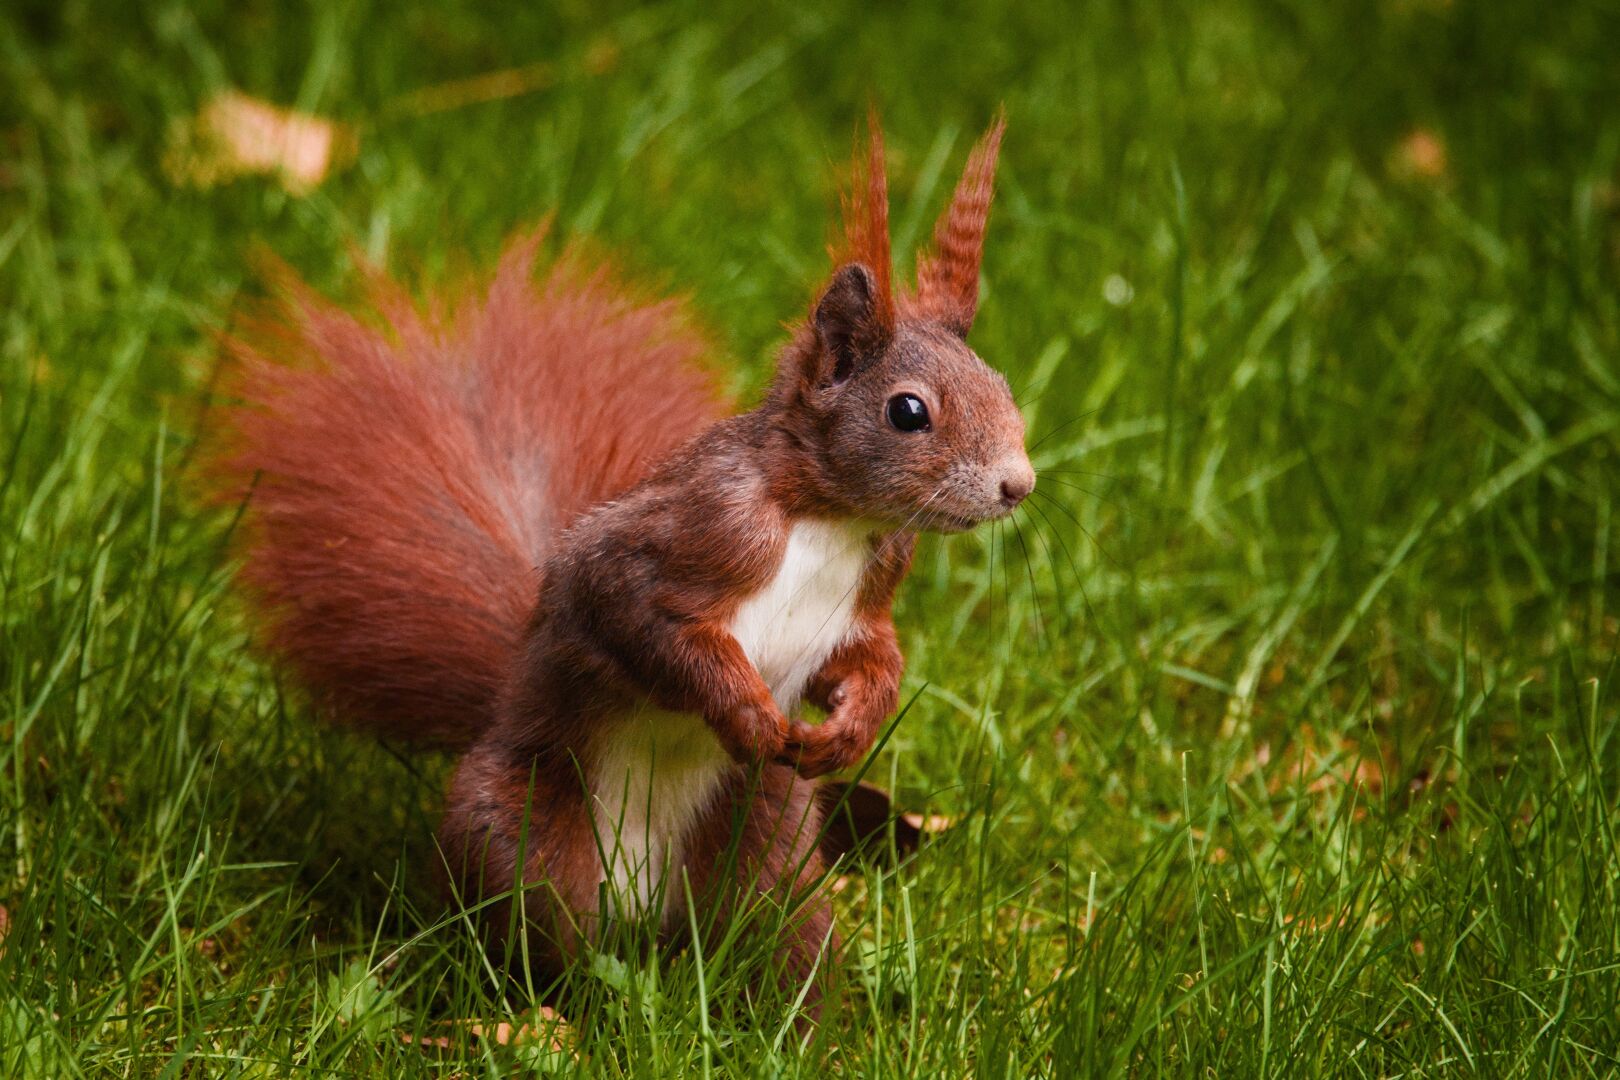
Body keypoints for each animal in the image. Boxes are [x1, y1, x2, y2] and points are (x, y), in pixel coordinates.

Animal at [209, 115, 1032, 1016]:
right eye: (908, 411)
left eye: (1002, 386)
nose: (1019, 485)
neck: (831, 521)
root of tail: (640, 918)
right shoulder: (684, 538)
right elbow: (648, 625)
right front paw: (748, 715)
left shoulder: (868, 595)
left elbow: (870, 658)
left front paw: (848, 728)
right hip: (524, 837)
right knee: (527, 944)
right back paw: (540, 1016)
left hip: (768, 845)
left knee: (775, 935)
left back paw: (802, 1023)